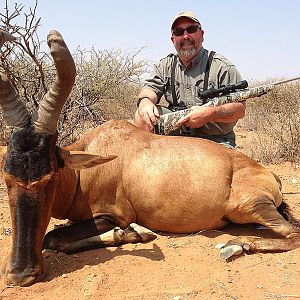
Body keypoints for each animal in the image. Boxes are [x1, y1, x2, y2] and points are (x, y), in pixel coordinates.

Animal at [0, 31, 300, 288]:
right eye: (7, 178)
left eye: (50, 177)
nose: (21, 275)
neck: (84, 172)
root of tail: (270, 175)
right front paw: (134, 233)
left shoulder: (113, 214)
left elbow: (52, 238)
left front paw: (135, 233)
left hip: (251, 206)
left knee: (293, 234)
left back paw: (236, 246)